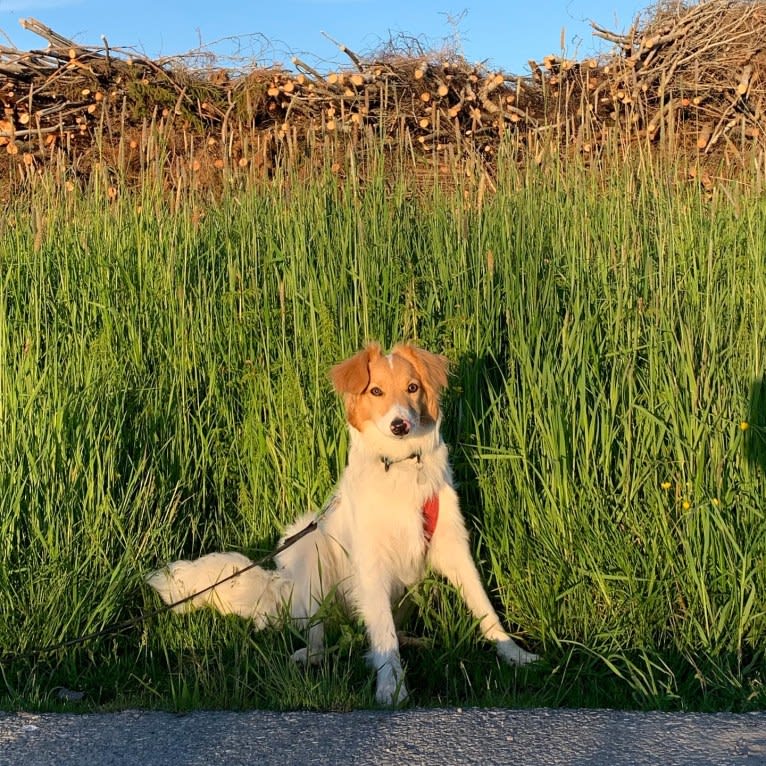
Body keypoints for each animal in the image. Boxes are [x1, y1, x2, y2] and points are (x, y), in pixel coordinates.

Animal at [147, 344, 536, 704]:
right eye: (376, 391)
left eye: (412, 388)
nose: (400, 425)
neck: (399, 465)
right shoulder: (371, 562)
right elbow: (383, 633)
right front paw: (391, 687)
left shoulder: (452, 547)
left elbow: (484, 608)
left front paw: (514, 654)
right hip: (308, 545)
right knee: (318, 628)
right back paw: (313, 655)